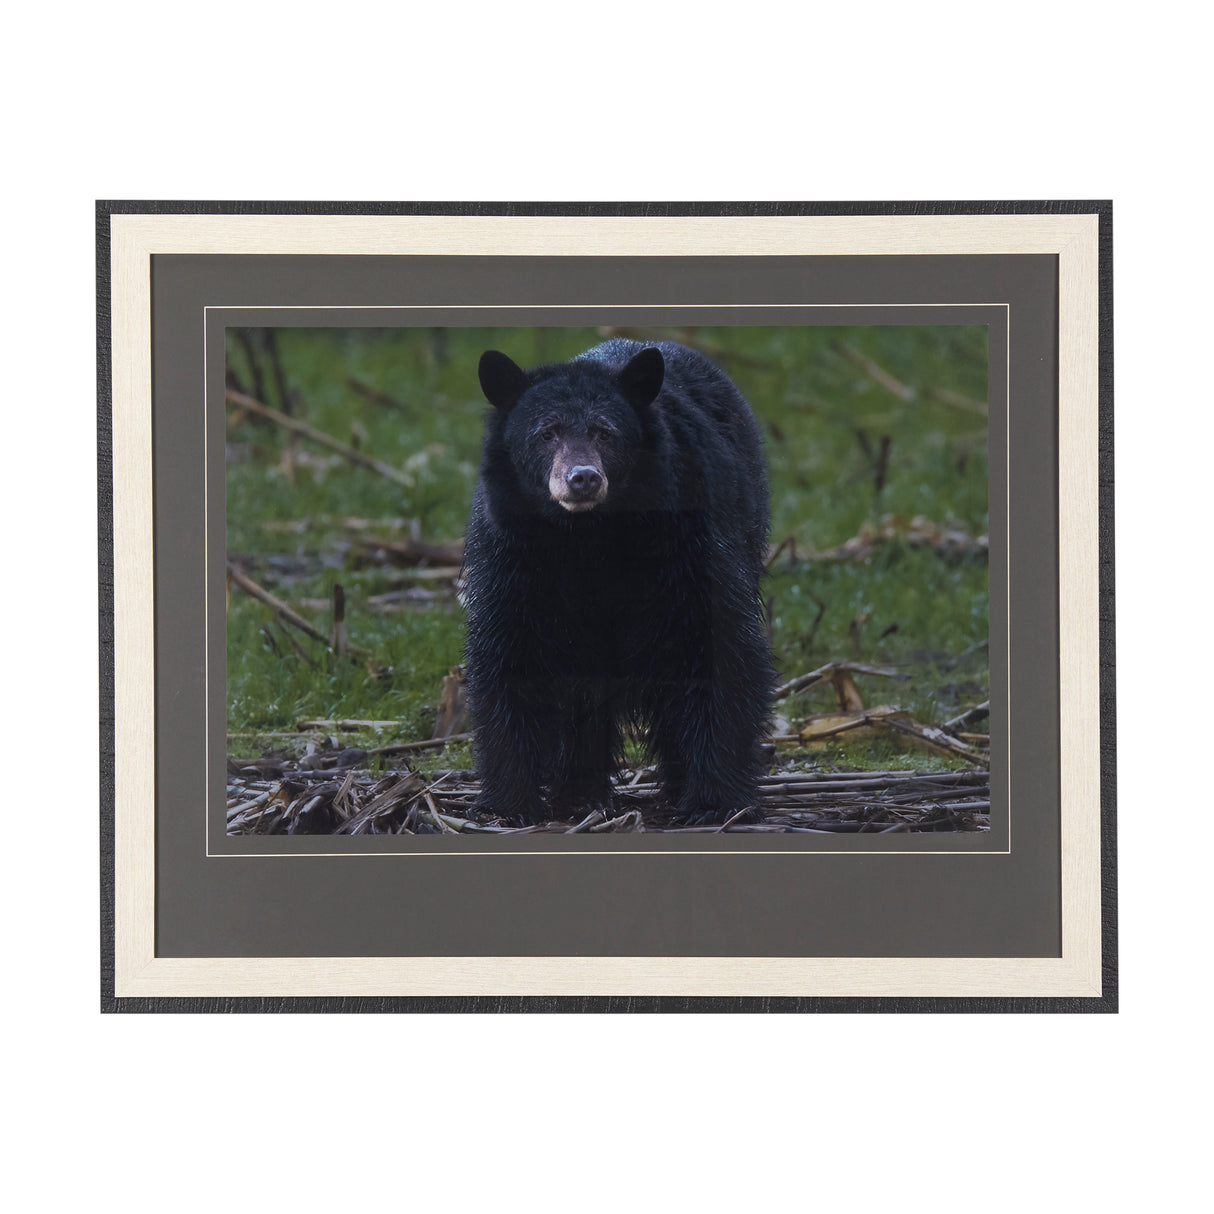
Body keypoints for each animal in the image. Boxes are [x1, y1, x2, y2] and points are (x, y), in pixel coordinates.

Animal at [461, 338, 774, 825]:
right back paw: (581, 792)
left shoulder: (688, 543)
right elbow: (510, 654)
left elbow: (718, 648)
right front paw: (510, 804)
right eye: (546, 432)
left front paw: (714, 801)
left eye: (605, 432)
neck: (590, 538)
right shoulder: (513, 558)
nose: (583, 478)